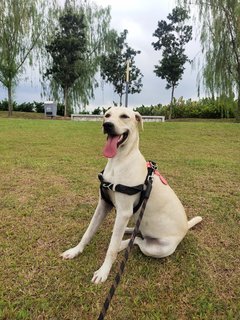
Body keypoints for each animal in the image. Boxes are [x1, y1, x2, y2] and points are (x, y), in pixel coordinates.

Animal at [60, 106, 202, 284]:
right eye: (107, 115)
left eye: (124, 116)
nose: (107, 125)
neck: (119, 161)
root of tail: (185, 228)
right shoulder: (103, 204)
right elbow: (88, 232)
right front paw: (75, 250)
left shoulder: (123, 212)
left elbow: (112, 248)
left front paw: (104, 271)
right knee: (136, 234)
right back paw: (128, 230)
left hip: (158, 248)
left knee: (137, 241)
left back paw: (123, 242)